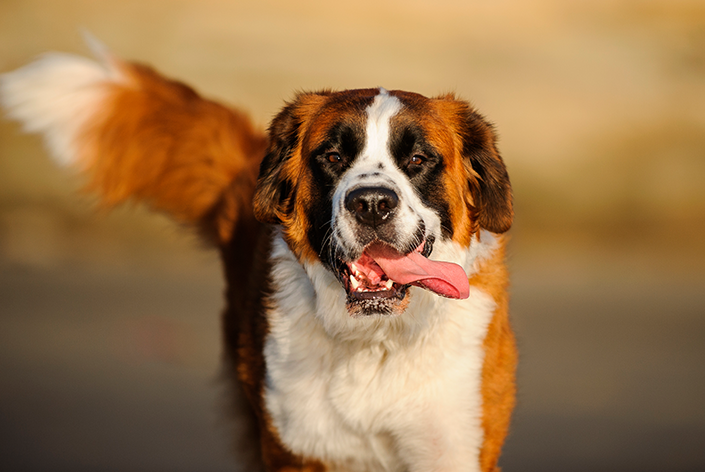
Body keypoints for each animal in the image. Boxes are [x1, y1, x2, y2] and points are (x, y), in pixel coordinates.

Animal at [0, 37, 516, 472]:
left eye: (417, 160)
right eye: (332, 157)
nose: (370, 203)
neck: (375, 340)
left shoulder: (454, 448)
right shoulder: (296, 452)